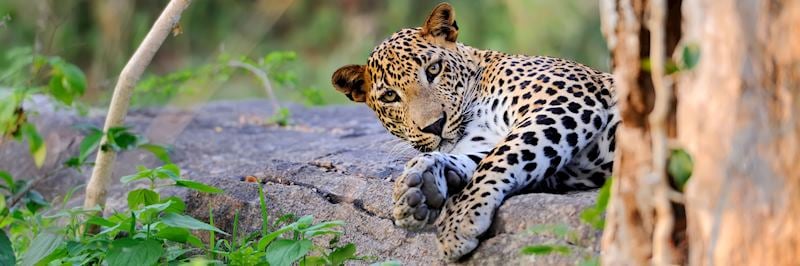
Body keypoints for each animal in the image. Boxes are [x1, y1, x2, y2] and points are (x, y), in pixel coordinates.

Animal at [332, 2, 620, 262]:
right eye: (390, 96)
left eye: (434, 69)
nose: (434, 125)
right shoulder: (490, 141)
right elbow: (482, 158)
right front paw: (420, 185)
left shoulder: (564, 101)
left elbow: (500, 158)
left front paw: (458, 221)